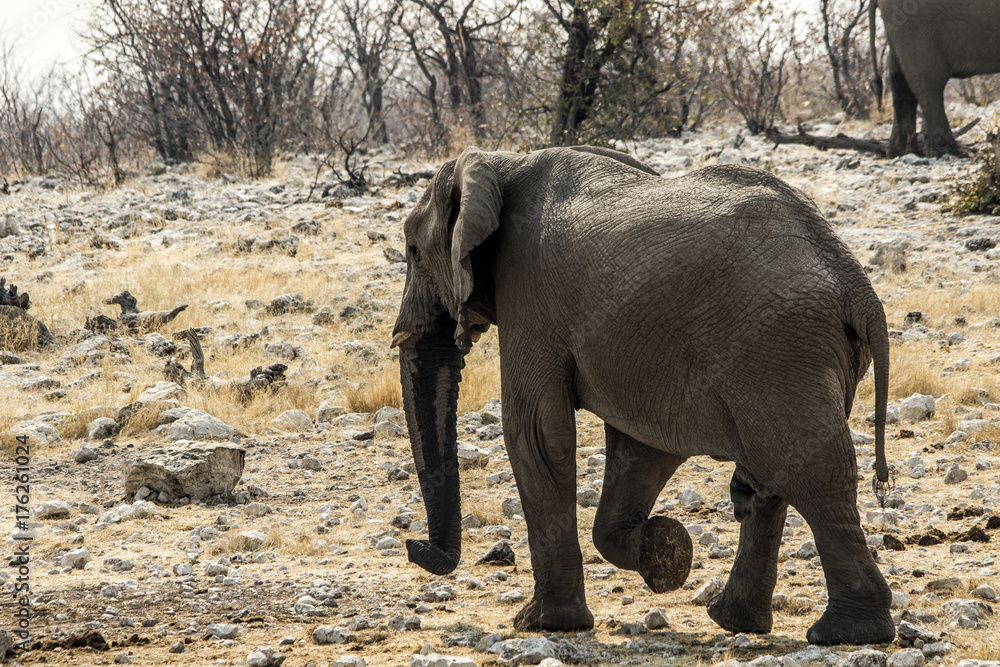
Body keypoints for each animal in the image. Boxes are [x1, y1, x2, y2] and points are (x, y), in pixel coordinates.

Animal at [391, 145, 894, 646]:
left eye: (413, 252)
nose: (413, 545)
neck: (502, 163)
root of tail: (856, 284)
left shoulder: (529, 297)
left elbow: (537, 432)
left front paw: (542, 624)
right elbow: (640, 447)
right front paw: (667, 550)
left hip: (778, 348)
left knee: (813, 472)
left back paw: (846, 633)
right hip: (802, 355)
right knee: (773, 473)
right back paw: (736, 622)